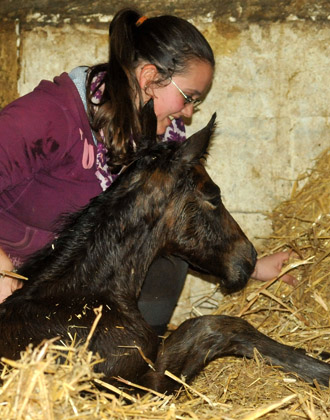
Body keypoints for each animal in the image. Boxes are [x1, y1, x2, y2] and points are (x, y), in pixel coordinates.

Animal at [0, 106, 330, 394]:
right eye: (214, 195)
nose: (248, 258)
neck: (82, 296)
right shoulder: (139, 385)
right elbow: (218, 326)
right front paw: (319, 365)